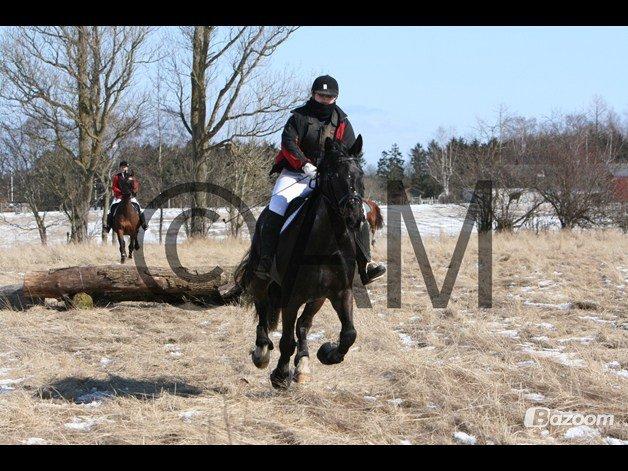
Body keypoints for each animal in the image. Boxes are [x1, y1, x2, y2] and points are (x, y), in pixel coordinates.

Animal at [233, 135, 366, 390]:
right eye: (333, 175)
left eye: (360, 174)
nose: (354, 216)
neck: (325, 244)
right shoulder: (291, 296)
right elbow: (286, 340)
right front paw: (280, 375)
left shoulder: (340, 292)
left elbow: (349, 334)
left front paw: (328, 353)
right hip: (263, 281)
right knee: (263, 307)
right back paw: (262, 351)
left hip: (317, 296)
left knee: (303, 325)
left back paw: (303, 364)